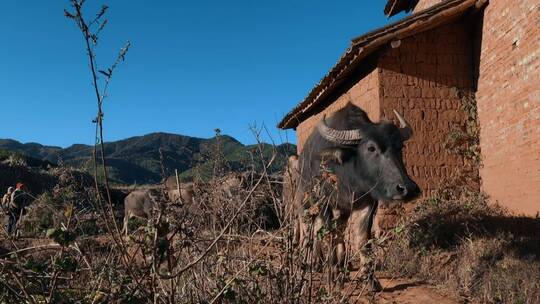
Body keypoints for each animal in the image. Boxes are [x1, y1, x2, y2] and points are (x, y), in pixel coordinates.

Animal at [294, 102, 420, 290]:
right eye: (371, 148)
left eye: (400, 147)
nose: (408, 189)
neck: (348, 174)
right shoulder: (325, 202)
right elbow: (329, 236)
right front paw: (330, 279)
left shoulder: (366, 202)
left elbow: (361, 239)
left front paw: (370, 280)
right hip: (306, 204)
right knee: (309, 231)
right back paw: (309, 263)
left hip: (342, 211)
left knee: (334, 232)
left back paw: (338, 269)